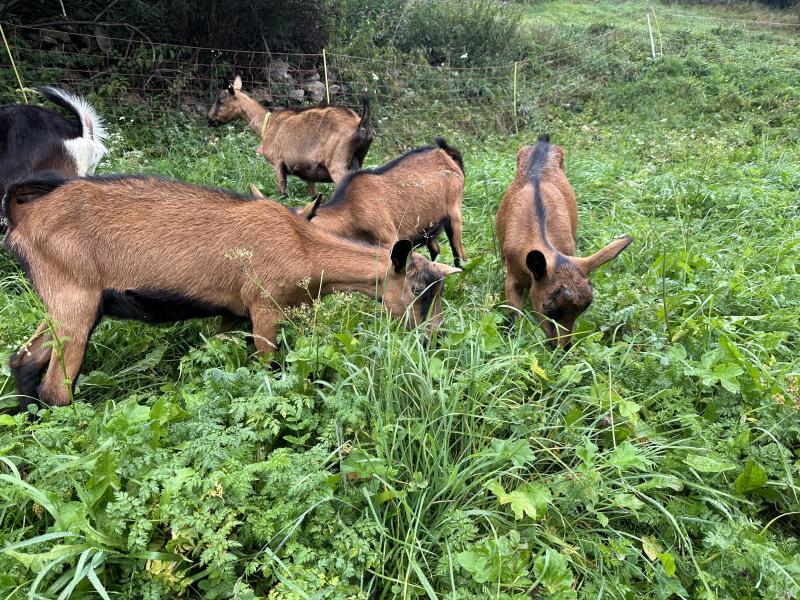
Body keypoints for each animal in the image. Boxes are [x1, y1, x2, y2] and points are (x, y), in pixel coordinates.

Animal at [3, 173, 460, 408]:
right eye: (417, 290)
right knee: (56, 387)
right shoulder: (264, 309)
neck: (302, 246)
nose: (433, 339)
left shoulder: (231, 313)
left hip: (62, 304)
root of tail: (24, 219)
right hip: (76, 300)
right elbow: (268, 368)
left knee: (22, 360)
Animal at [205, 75, 370, 197]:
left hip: (338, 167)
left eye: (220, 100)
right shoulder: (308, 175)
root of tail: (359, 124)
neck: (268, 124)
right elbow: (313, 196)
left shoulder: (278, 163)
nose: (209, 119)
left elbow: (282, 194)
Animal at [296, 139, 466, 266]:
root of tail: (445, 154)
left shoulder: (389, 239)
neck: (352, 209)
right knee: (436, 250)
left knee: (460, 256)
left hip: (454, 213)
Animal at [494, 132, 632, 346]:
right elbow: (515, 314)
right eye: (548, 307)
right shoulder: (512, 275)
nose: (562, 347)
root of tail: (543, 142)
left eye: (584, 308)